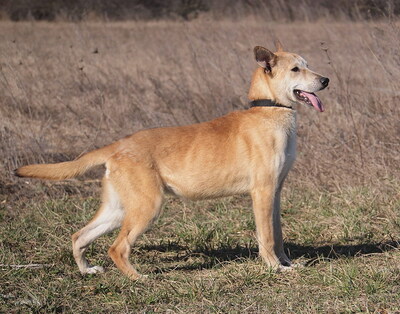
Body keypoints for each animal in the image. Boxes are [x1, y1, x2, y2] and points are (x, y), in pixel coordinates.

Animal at [14, 43, 328, 280]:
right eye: (295, 69)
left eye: (307, 64)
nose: (326, 80)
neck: (269, 109)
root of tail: (118, 145)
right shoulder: (262, 192)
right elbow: (267, 237)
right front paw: (275, 268)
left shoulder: (275, 192)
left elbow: (278, 234)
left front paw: (287, 263)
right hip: (147, 206)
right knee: (117, 248)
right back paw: (138, 278)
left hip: (118, 208)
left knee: (79, 236)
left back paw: (87, 270)